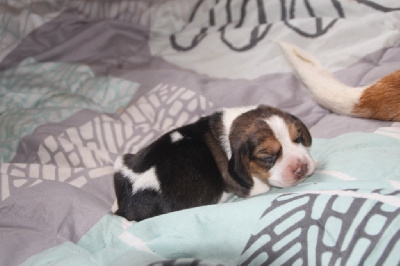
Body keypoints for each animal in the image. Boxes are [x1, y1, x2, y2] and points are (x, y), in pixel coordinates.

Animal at [112, 105, 316, 221]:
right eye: (267, 157)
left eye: (298, 138)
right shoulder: (250, 186)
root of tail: (125, 206)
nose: (302, 168)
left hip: (121, 160)